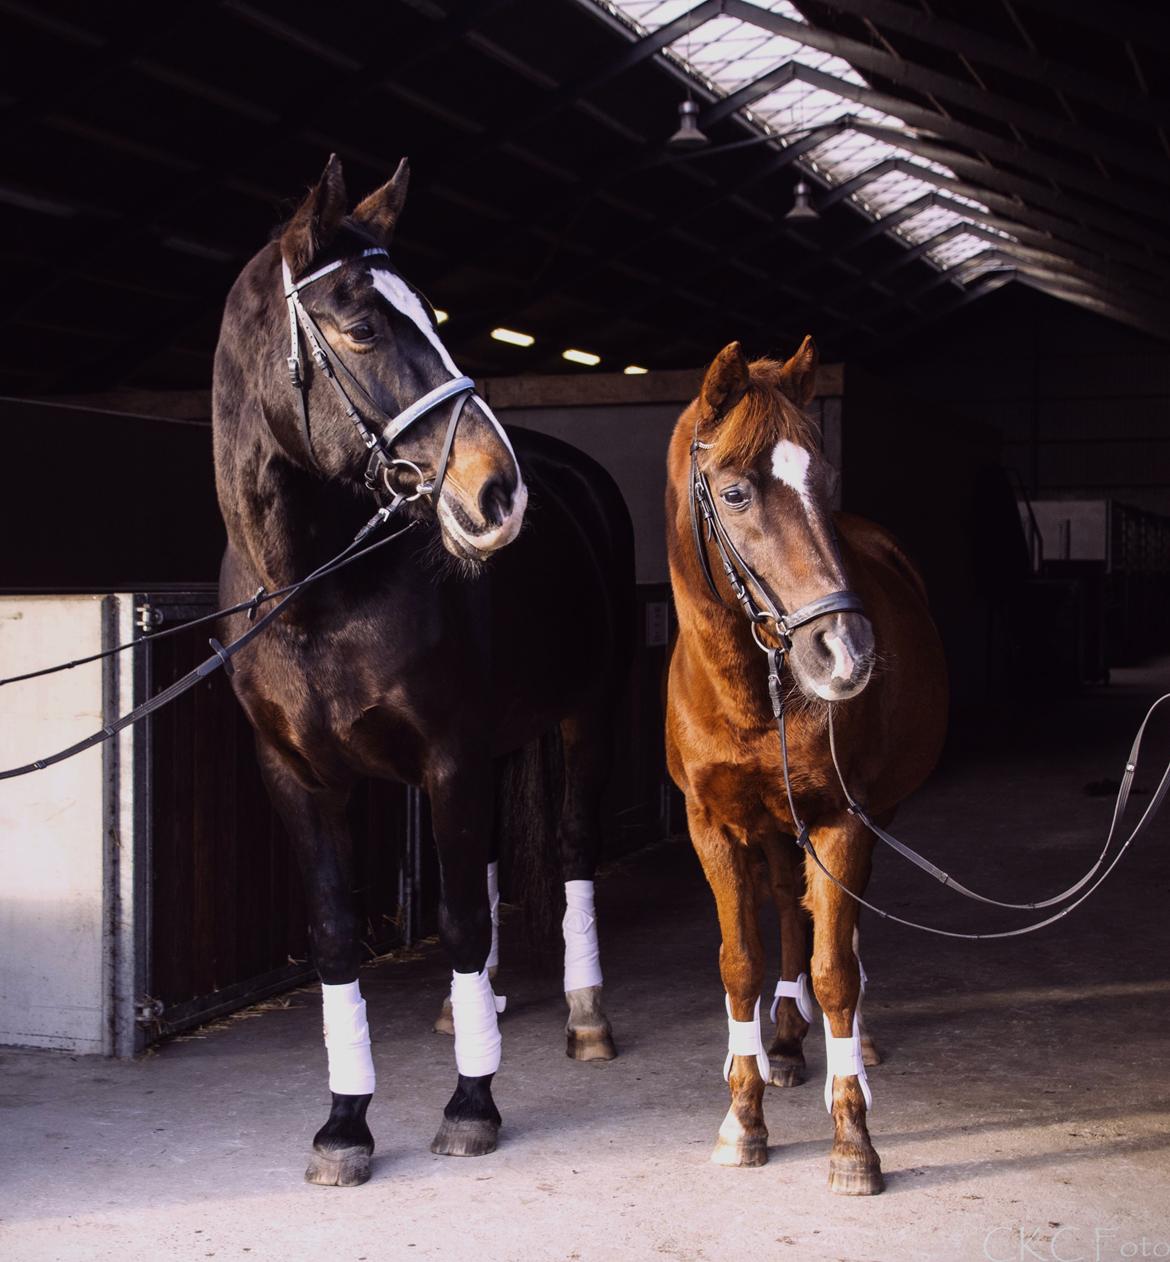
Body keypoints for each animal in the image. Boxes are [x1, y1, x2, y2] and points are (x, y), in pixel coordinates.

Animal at [210, 155, 631, 1181]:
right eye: (362, 326)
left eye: (435, 316)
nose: (496, 491)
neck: (315, 595)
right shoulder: (297, 776)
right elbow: (336, 937)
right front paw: (345, 1122)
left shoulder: (451, 756)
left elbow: (462, 919)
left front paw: (472, 1103)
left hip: (587, 714)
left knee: (571, 848)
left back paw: (586, 1015)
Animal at [661, 335, 949, 1191]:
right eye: (734, 492)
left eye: (822, 479)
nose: (847, 654)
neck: (751, 695)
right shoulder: (713, 828)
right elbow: (741, 965)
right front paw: (743, 1116)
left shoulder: (840, 821)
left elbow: (835, 968)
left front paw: (853, 1137)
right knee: (792, 907)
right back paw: (785, 1041)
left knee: (836, 932)